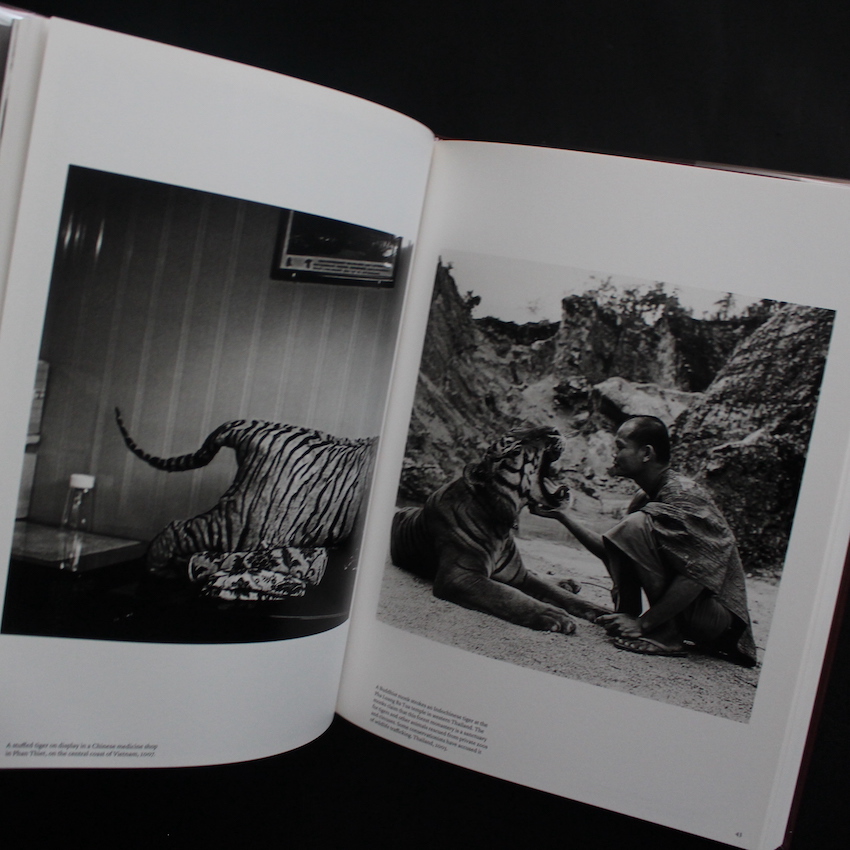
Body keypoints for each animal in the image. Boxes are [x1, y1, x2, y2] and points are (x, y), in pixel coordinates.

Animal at [391, 425, 609, 633]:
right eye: (516, 449)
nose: (554, 430)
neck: (502, 525)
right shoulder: (460, 576)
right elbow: (509, 596)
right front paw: (554, 615)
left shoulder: (520, 575)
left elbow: (559, 594)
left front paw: (603, 611)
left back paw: (569, 582)